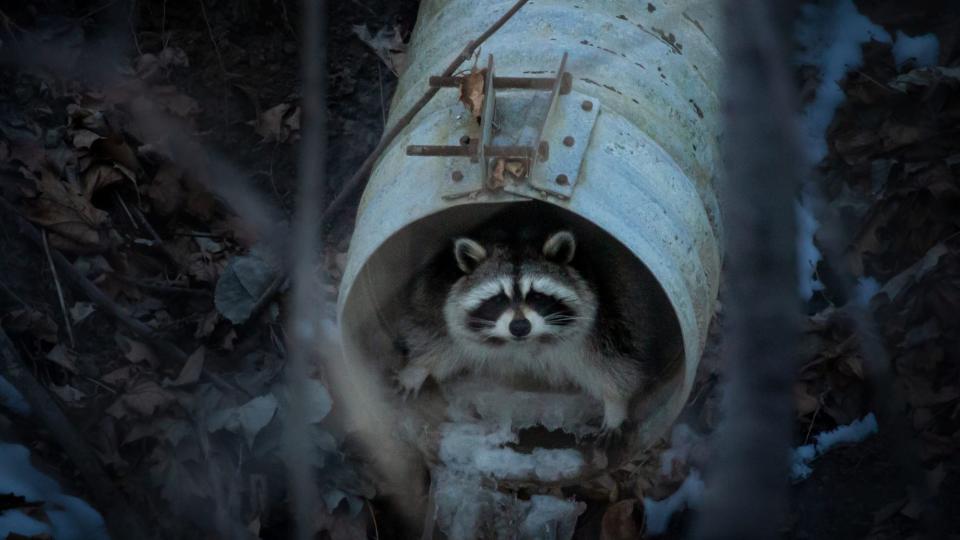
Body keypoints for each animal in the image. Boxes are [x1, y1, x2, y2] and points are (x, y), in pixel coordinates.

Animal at [394, 217, 656, 432]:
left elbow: (614, 361)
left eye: (537, 297)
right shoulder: (439, 289)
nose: (519, 327)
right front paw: (418, 368)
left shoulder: (608, 313)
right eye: (499, 299)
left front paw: (615, 404)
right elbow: (433, 332)